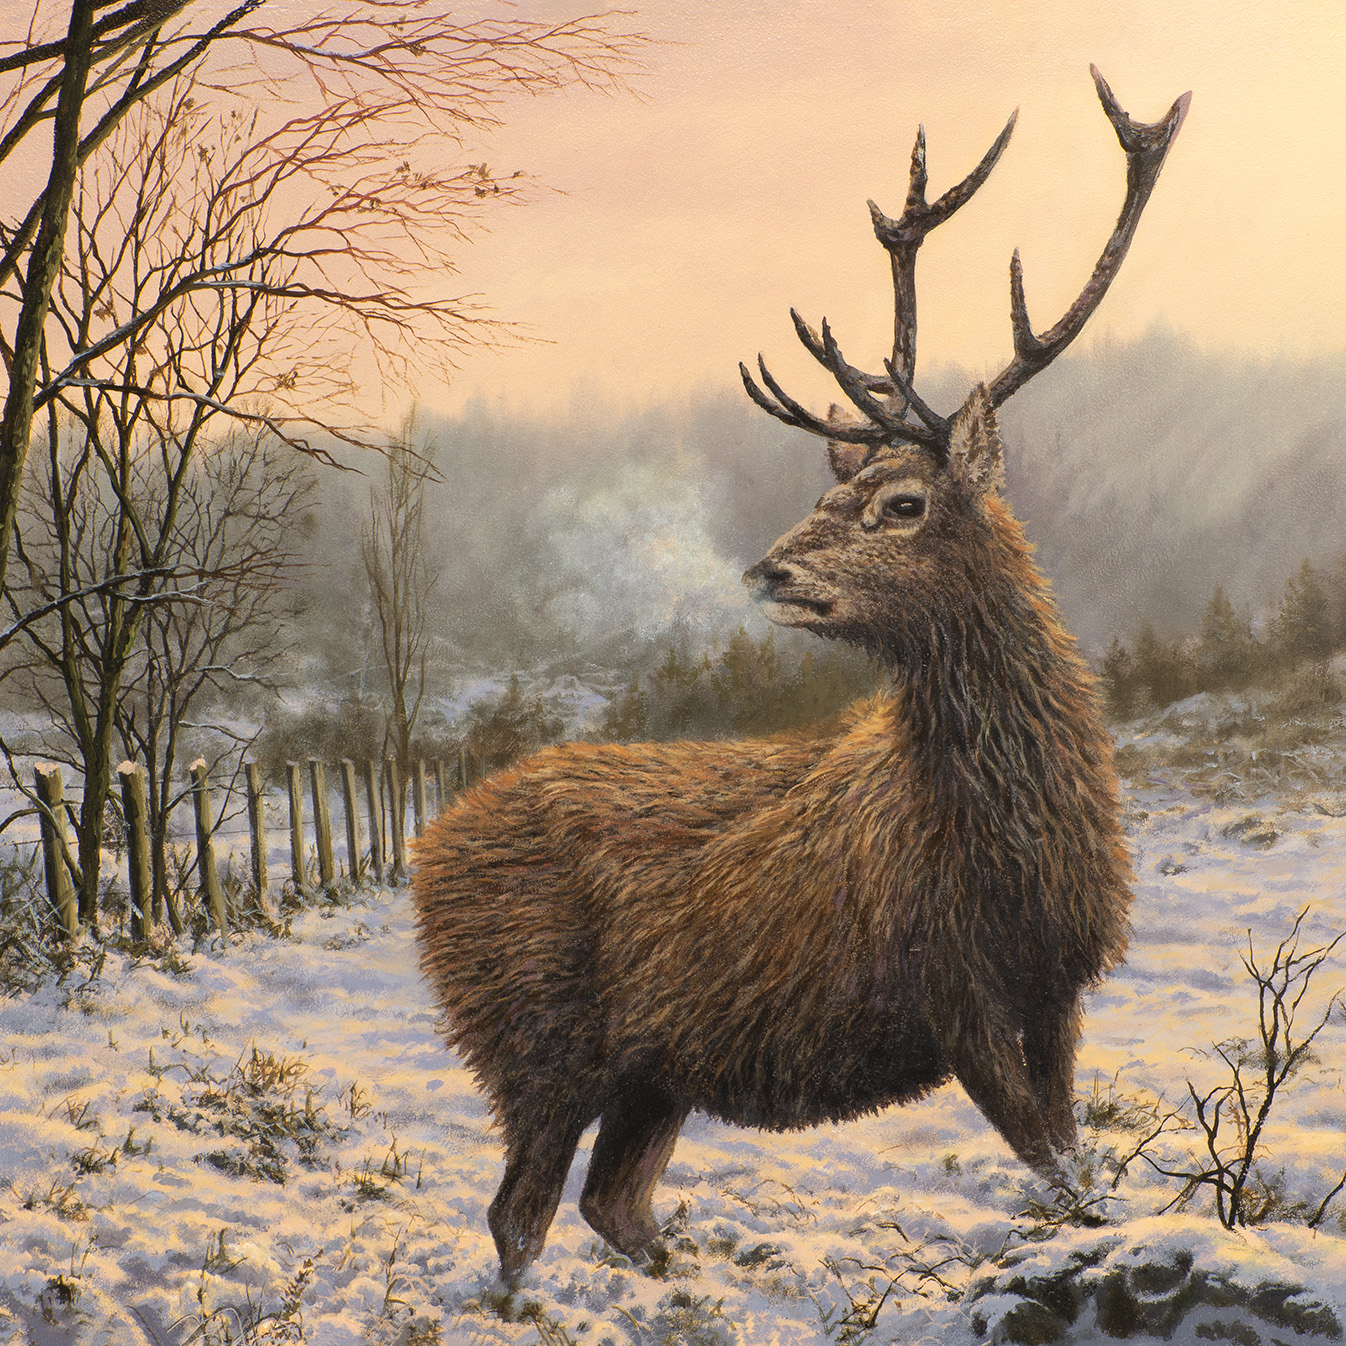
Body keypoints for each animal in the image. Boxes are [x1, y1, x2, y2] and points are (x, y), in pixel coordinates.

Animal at [413, 67, 1189, 1287]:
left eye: (901, 502)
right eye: (834, 492)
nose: (768, 567)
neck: (1006, 846)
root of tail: (422, 852)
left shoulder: (1057, 983)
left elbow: (1069, 1153)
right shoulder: (947, 984)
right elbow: (1053, 1165)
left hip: (652, 1066)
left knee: (610, 1202)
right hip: (536, 1037)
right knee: (517, 1214)